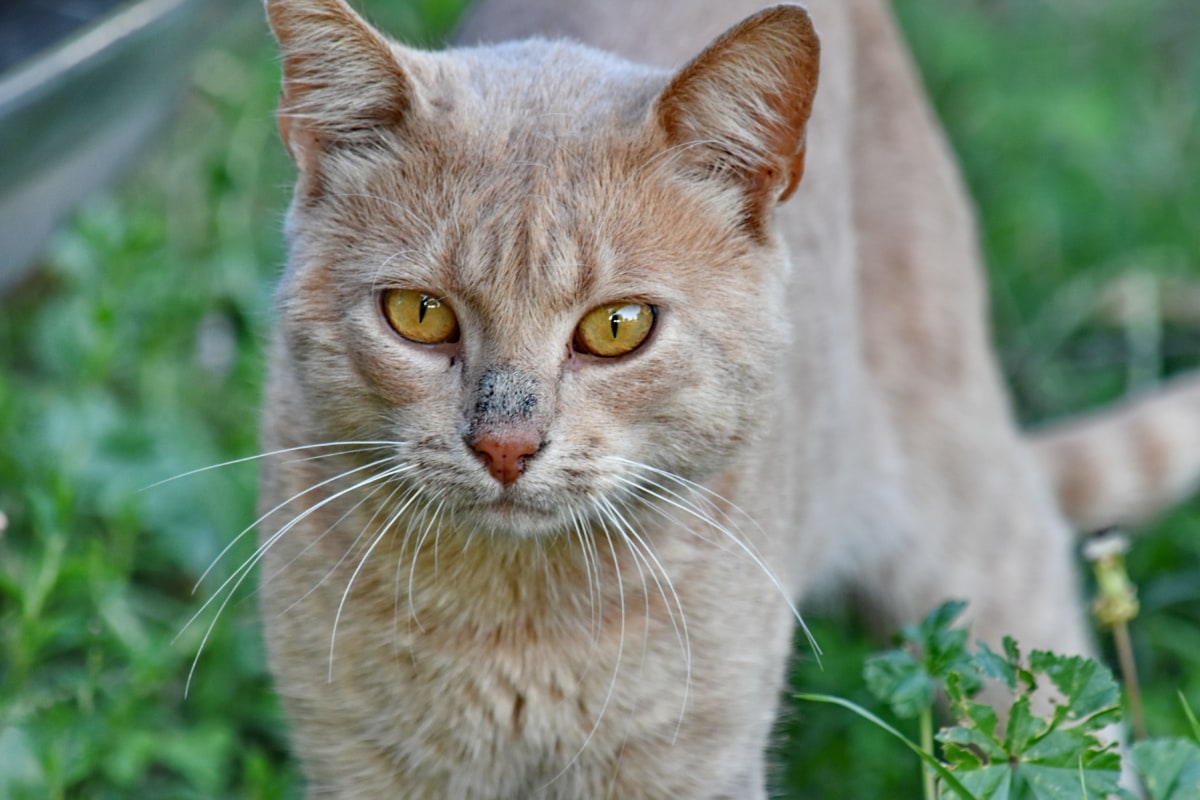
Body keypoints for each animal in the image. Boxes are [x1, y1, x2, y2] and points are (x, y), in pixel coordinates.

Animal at [255, 0, 1200, 796]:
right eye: (420, 314)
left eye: (617, 327)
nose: (505, 447)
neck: (516, 627)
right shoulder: (354, 756)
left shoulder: (694, 759)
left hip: (968, 518)